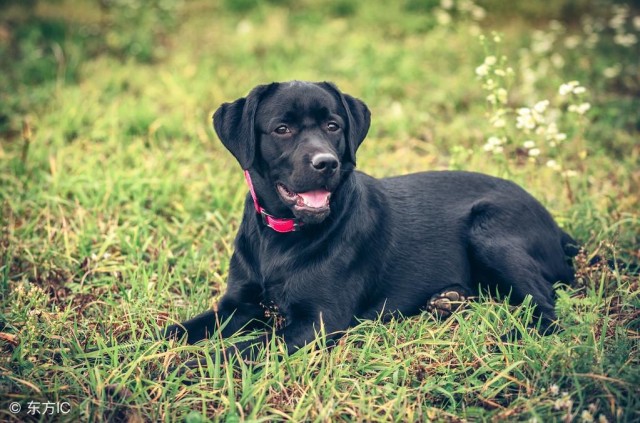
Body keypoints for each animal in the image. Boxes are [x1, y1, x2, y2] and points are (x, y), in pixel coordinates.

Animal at [164, 81, 576, 362]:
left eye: (333, 126)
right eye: (282, 129)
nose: (326, 163)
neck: (281, 238)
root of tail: (557, 228)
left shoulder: (317, 322)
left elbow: (241, 349)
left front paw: (187, 366)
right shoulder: (237, 306)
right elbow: (181, 330)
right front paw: (154, 347)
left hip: (488, 230)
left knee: (546, 303)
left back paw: (506, 340)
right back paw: (447, 301)